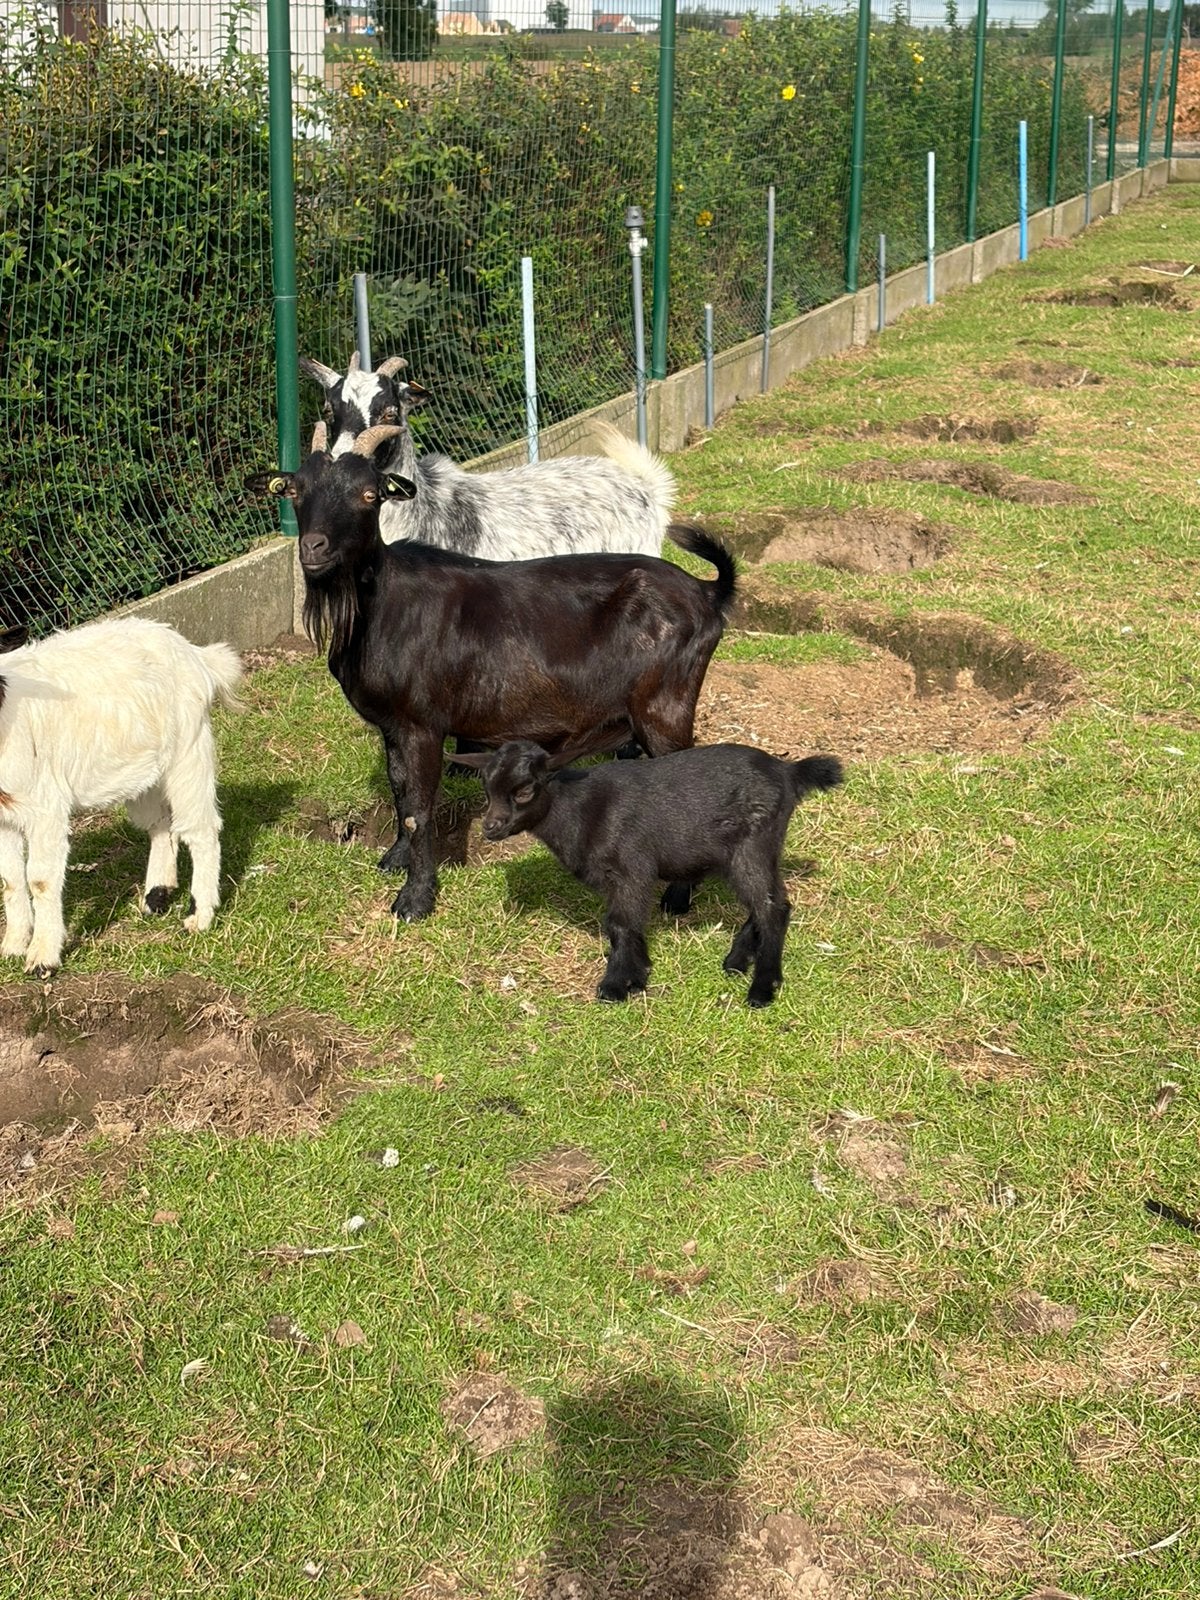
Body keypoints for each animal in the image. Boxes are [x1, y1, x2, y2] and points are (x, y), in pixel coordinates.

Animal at [0, 617, 242, 974]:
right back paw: (157, 896)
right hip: (140, 772)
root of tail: (197, 654)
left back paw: (199, 916)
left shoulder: (44, 804)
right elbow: (10, 879)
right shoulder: (4, 814)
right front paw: (12, 946)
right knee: (161, 823)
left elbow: (40, 880)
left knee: (200, 828)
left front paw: (42, 958)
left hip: (189, 748)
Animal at [244, 425, 736, 923]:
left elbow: (419, 807)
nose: (314, 548)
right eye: (295, 490)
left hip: (664, 708)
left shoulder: (423, 724)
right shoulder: (392, 726)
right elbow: (400, 792)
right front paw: (395, 859)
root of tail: (706, 592)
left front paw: (415, 899)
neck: (380, 605)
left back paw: (676, 900)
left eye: (369, 495)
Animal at [453, 740, 844, 1007]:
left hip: (753, 843)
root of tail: (788, 773)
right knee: (765, 902)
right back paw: (737, 961)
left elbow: (619, 924)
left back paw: (762, 988)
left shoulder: (631, 869)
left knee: (773, 908)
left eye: (524, 790)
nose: (490, 828)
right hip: (749, 850)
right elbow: (626, 925)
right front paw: (639, 975)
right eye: (487, 789)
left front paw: (615, 986)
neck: (578, 810)